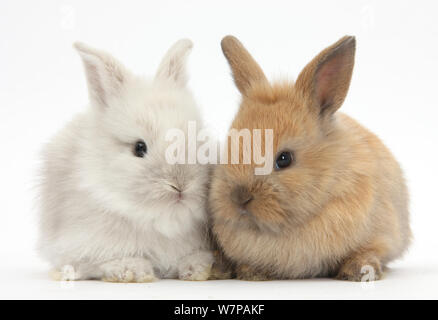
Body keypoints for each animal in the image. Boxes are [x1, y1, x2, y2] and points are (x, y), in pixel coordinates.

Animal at [37, 40, 214, 282]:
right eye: (139, 148)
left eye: (198, 141)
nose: (180, 185)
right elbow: (105, 260)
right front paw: (133, 270)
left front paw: (199, 268)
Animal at [209, 35, 410, 280]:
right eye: (227, 150)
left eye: (284, 159)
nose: (240, 198)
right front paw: (252, 273)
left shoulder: (381, 236)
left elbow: (368, 251)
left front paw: (358, 272)